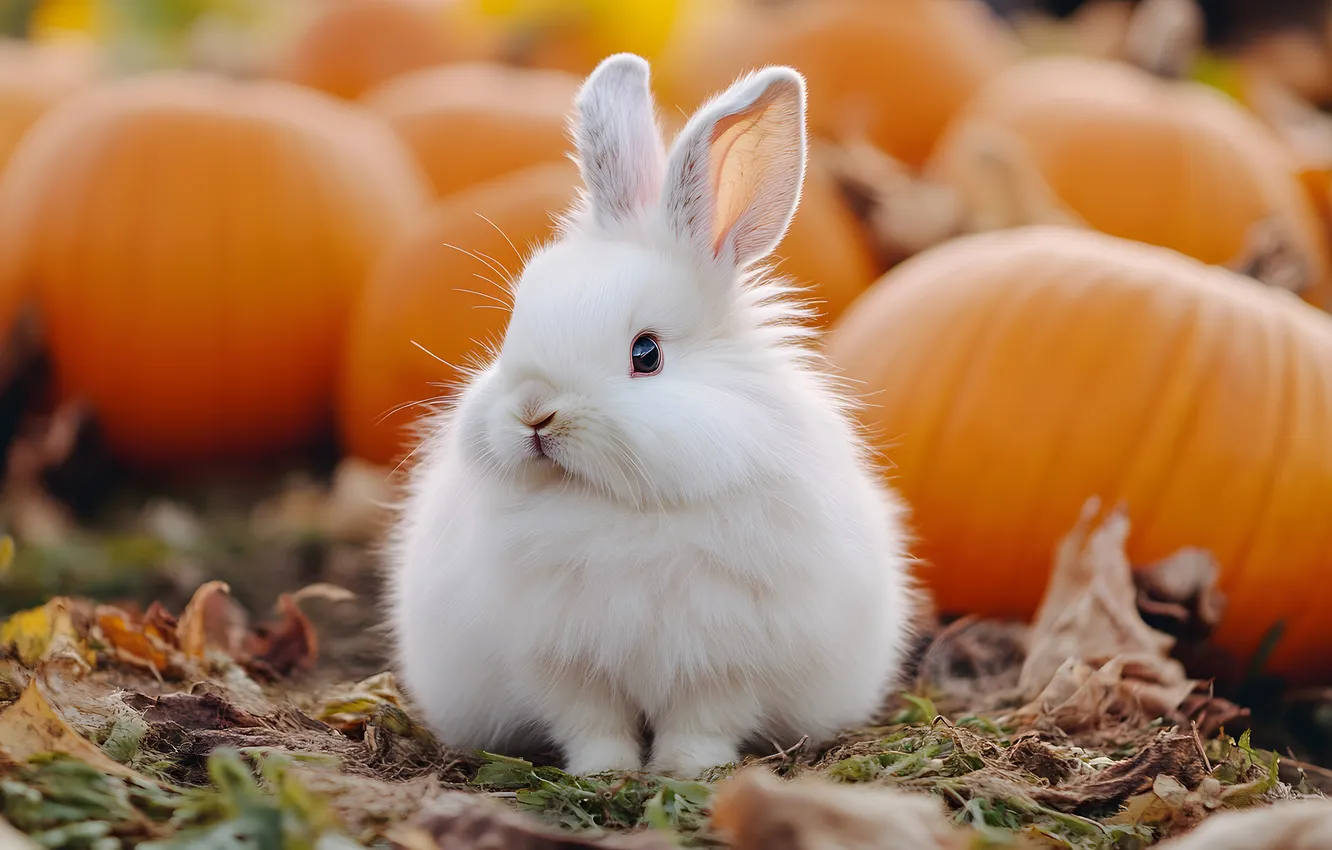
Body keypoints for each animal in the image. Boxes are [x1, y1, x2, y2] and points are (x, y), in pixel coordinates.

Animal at [386, 51, 919, 779]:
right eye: (514, 326)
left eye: (647, 354)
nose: (535, 413)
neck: (619, 507)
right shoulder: (561, 663)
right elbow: (592, 722)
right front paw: (606, 772)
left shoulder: (727, 660)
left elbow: (703, 719)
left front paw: (684, 770)